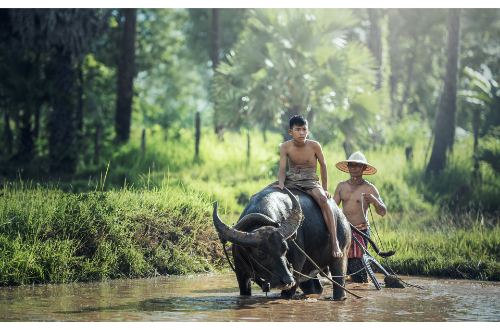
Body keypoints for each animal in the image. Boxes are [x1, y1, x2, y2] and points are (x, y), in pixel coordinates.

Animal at [214, 187, 352, 300]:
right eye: (261, 252)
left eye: (285, 248)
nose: (286, 280)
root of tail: (341, 215)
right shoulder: (240, 274)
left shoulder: (296, 269)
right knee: (315, 288)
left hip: (342, 256)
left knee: (339, 284)